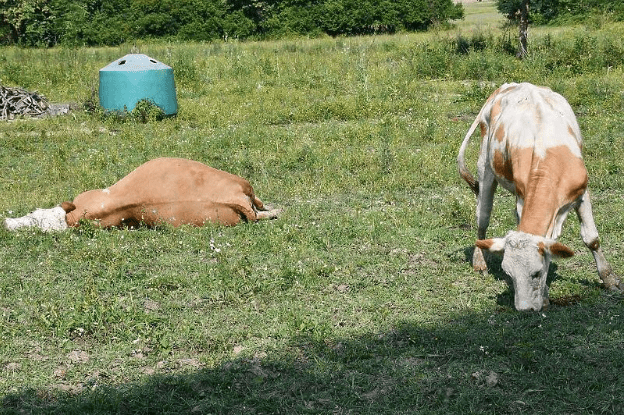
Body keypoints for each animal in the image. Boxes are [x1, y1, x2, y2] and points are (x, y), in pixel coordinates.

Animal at [456, 81, 620, 310]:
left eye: (537, 272)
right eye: (509, 275)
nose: (524, 309)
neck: (548, 156)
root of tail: (509, 85)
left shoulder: (582, 192)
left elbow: (591, 239)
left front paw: (610, 279)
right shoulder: (522, 197)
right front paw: (545, 296)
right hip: (485, 166)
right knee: (483, 217)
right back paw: (479, 261)